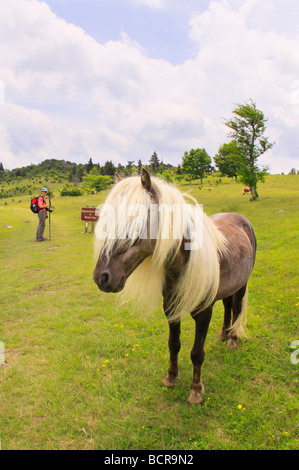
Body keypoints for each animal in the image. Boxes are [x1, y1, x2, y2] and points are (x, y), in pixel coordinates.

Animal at [94, 169, 258, 404]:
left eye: (135, 222)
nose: (102, 277)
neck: (182, 264)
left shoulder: (203, 312)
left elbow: (197, 353)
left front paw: (196, 391)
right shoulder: (171, 308)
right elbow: (174, 344)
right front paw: (171, 378)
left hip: (242, 284)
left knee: (236, 308)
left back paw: (233, 339)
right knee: (228, 306)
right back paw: (224, 334)